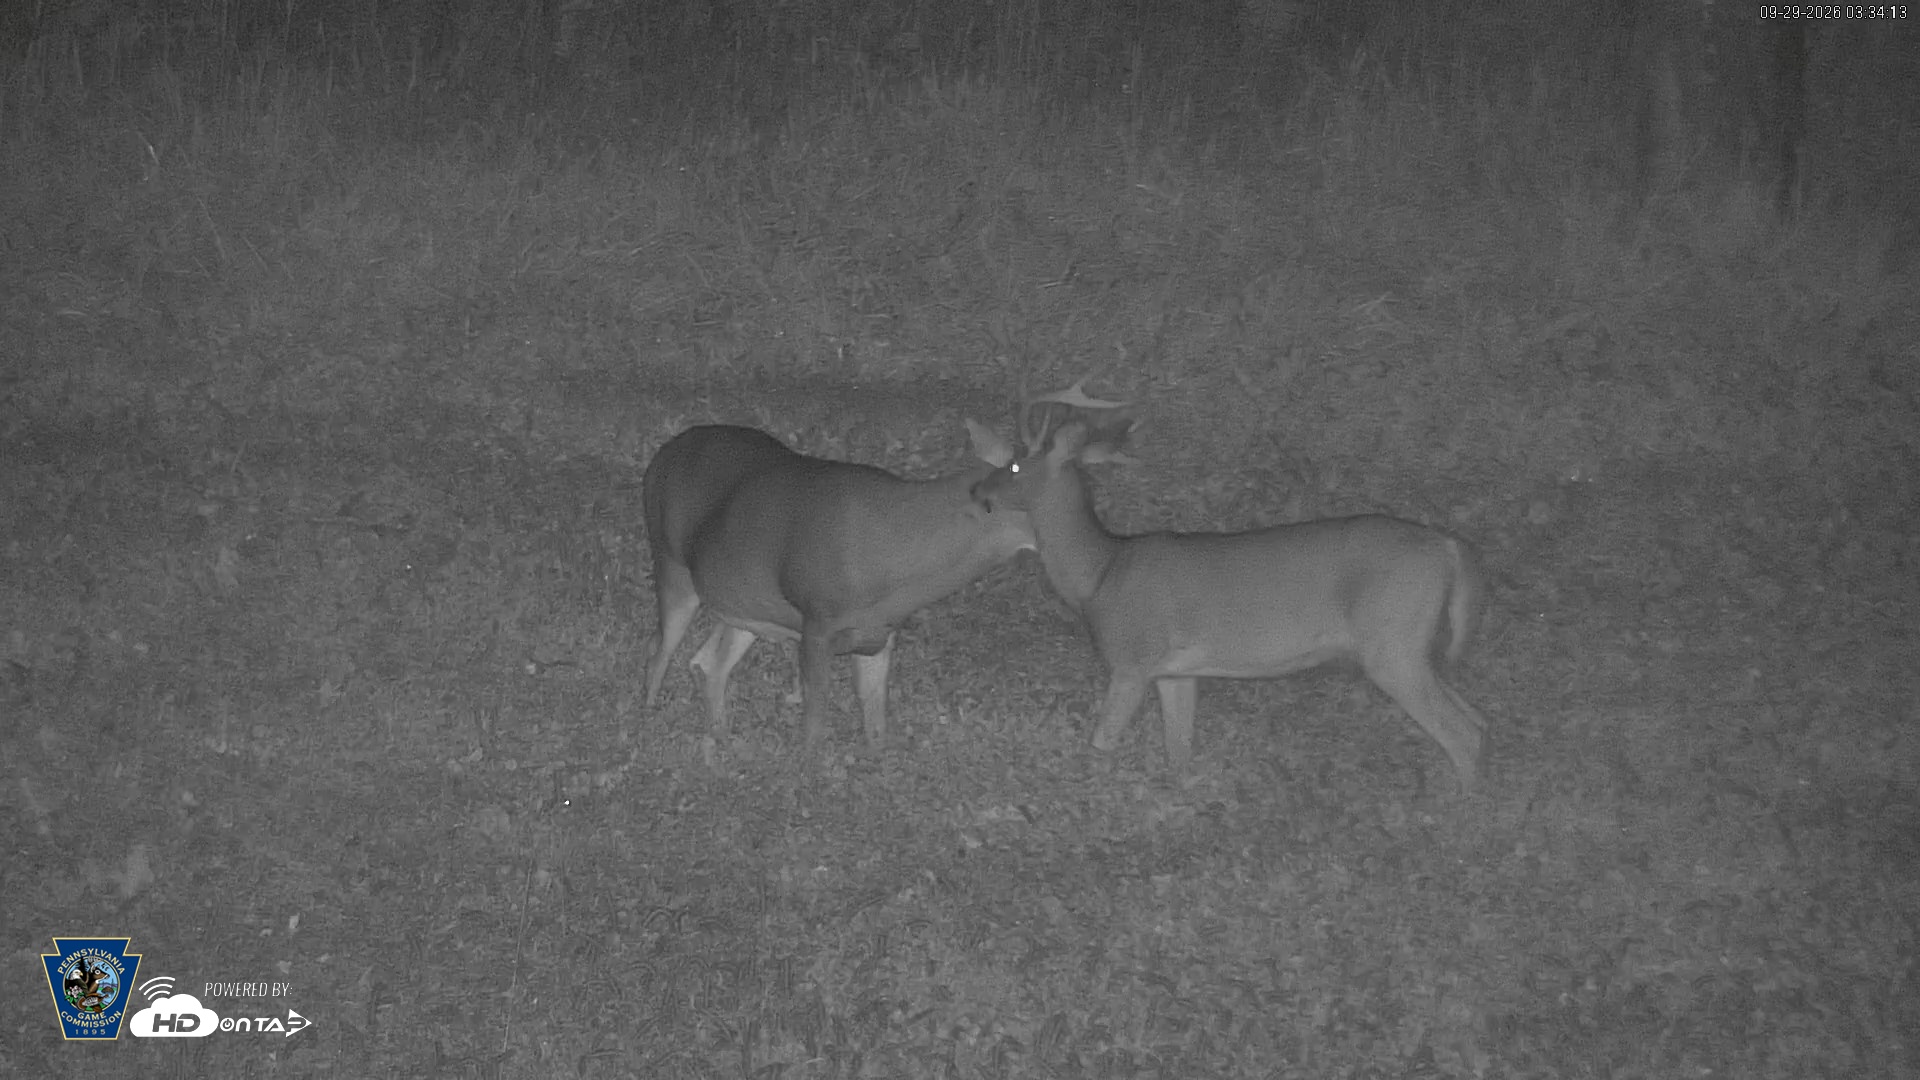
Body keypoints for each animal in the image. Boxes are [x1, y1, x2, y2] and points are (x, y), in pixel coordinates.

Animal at [641, 419, 1033, 748]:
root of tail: (661, 455)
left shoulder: (880, 633)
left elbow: (875, 719)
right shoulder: (817, 621)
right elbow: (815, 719)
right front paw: (809, 774)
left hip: (741, 602)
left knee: (707, 663)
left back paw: (719, 735)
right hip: (670, 563)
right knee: (660, 653)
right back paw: (647, 722)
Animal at [969, 384, 1488, 789]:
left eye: (1014, 467)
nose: (978, 492)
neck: (1099, 574)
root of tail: (1448, 547)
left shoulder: (1132, 659)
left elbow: (1100, 743)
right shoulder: (1176, 673)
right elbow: (1179, 754)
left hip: (1392, 644)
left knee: (1463, 736)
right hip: (1416, 646)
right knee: (1478, 719)